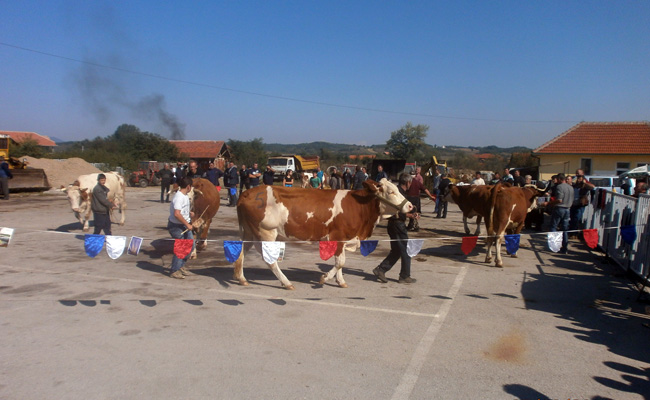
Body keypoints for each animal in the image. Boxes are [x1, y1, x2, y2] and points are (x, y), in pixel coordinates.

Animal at [233, 180, 412, 290]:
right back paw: (286, 282)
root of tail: (247, 193)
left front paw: (340, 281)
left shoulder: (344, 239)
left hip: (250, 232)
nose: (410, 206)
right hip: (266, 232)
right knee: (269, 260)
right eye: (391, 191)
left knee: (241, 252)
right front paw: (325, 278)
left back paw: (242, 278)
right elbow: (340, 262)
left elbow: (340, 261)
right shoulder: (338, 236)